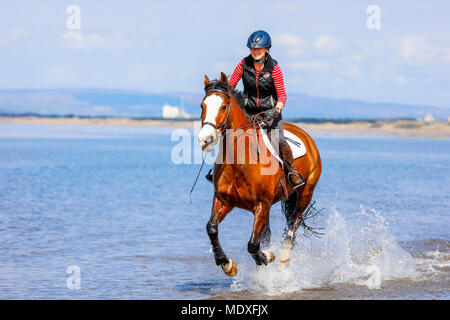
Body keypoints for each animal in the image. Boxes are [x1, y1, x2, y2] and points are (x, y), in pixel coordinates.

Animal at [199, 72, 322, 276]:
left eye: (223, 106)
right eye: (203, 105)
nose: (205, 139)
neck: (239, 161)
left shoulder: (261, 205)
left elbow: (253, 244)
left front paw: (266, 256)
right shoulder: (224, 200)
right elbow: (212, 229)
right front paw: (227, 264)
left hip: (305, 193)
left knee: (294, 224)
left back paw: (283, 257)